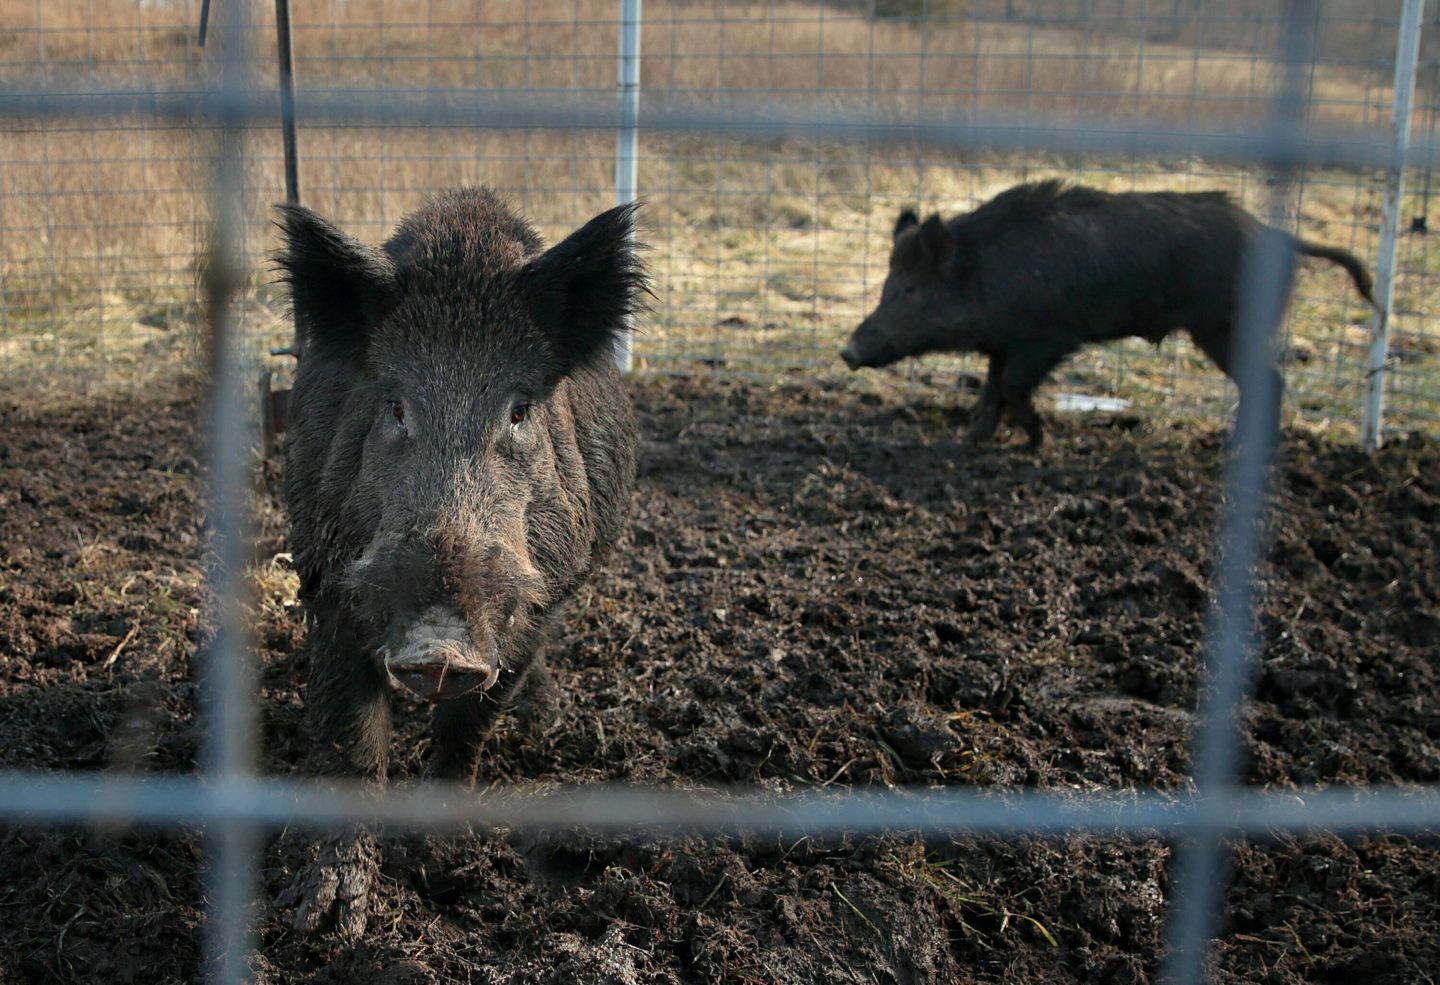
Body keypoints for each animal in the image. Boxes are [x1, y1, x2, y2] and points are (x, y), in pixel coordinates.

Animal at [273, 188, 643, 936]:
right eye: (394, 406)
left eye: (520, 410)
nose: (439, 648)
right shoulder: (327, 577)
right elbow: (351, 738)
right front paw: (323, 921)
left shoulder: (539, 604)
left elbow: (468, 728)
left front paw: (438, 857)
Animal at [841, 180, 1376, 447]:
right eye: (886, 286)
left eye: (910, 290)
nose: (847, 350)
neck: (986, 273)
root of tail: (1281, 237)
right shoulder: (1004, 343)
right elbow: (990, 393)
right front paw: (968, 441)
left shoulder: (1048, 338)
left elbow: (1010, 388)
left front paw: (1036, 440)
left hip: (1225, 326)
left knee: (1269, 381)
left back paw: (1239, 448)